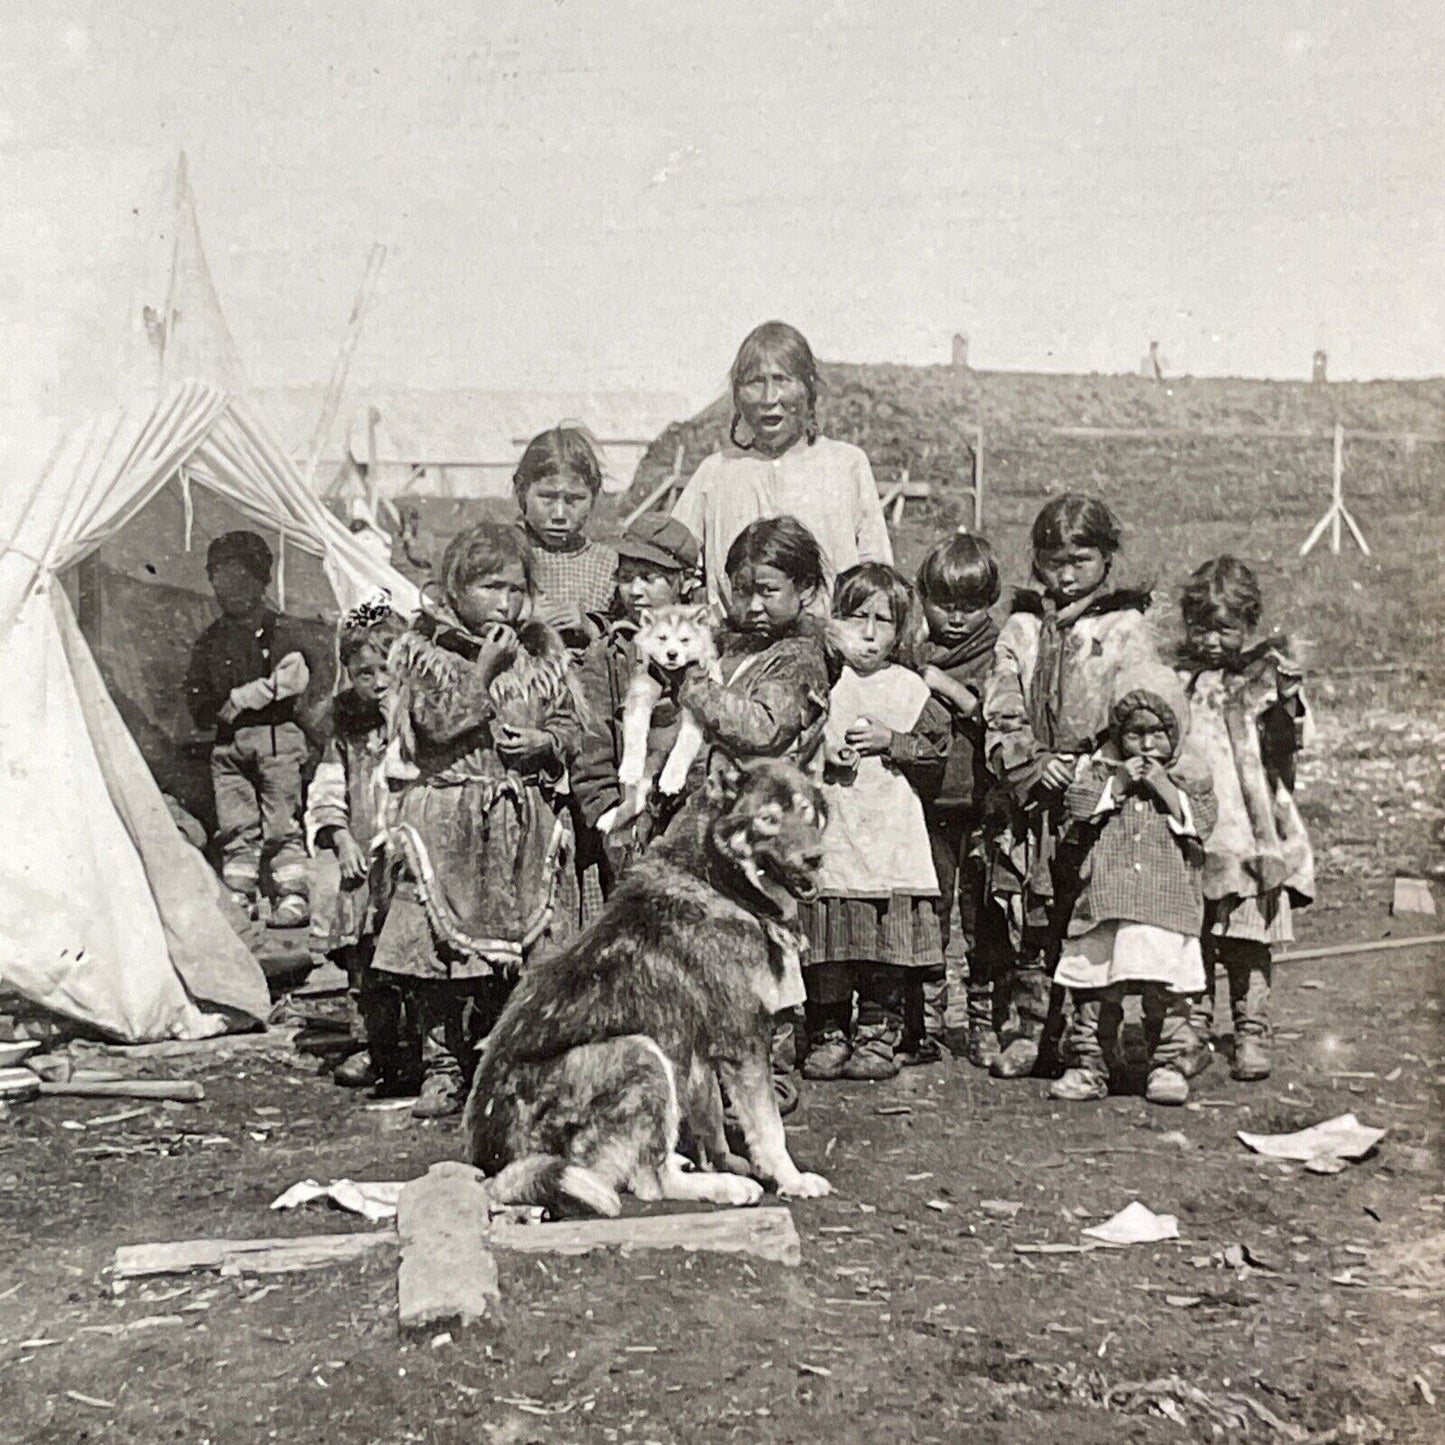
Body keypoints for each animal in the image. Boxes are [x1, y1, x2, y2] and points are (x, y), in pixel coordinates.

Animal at [468, 757, 832, 1219]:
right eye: (768, 819)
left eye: (807, 813)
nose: (815, 857)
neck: (718, 881)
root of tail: (493, 1169)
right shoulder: (744, 1042)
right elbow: (770, 1129)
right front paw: (790, 1179)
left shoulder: (699, 1051)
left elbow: (713, 1119)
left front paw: (727, 1160)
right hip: (642, 1053)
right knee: (650, 1182)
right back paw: (722, 1187)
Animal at [598, 598, 722, 832]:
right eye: (662, 638)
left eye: (684, 639)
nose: (672, 654)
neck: (672, 678)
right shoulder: (640, 694)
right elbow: (635, 736)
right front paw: (630, 769)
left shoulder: (696, 706)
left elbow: (683, 747)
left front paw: (671, 780)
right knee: (635, 799)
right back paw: (611, 818)